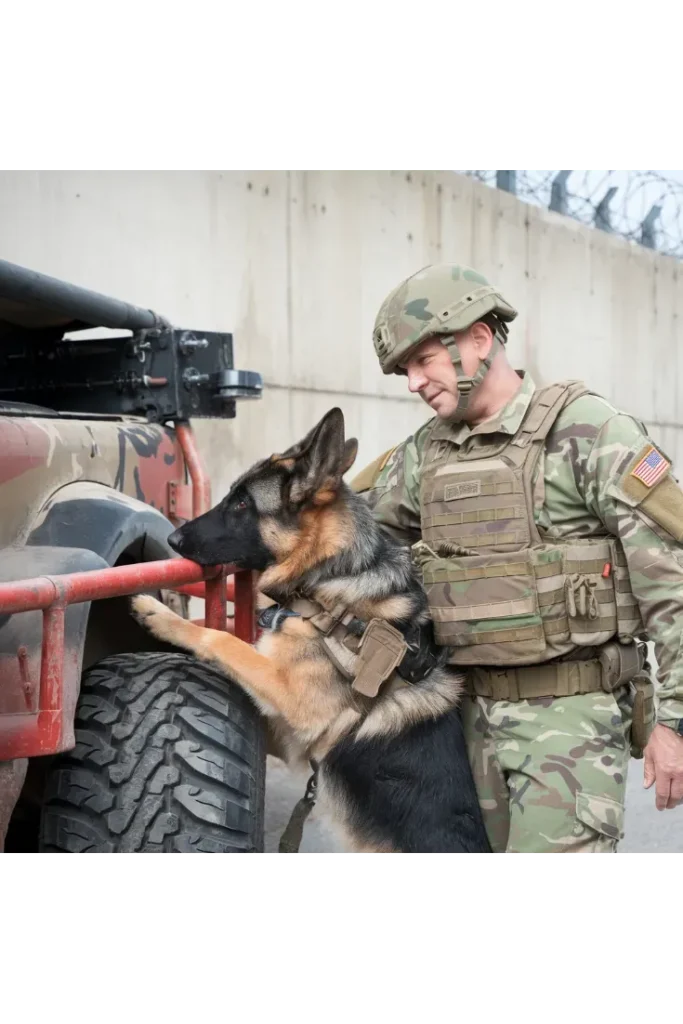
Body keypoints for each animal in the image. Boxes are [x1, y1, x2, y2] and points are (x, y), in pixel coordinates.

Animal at [129, 407, 491, 856]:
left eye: (243, 503)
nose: (172, 537)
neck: (326, 582)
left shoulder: (293, 702)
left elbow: (223, 638)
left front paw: (160, 614)